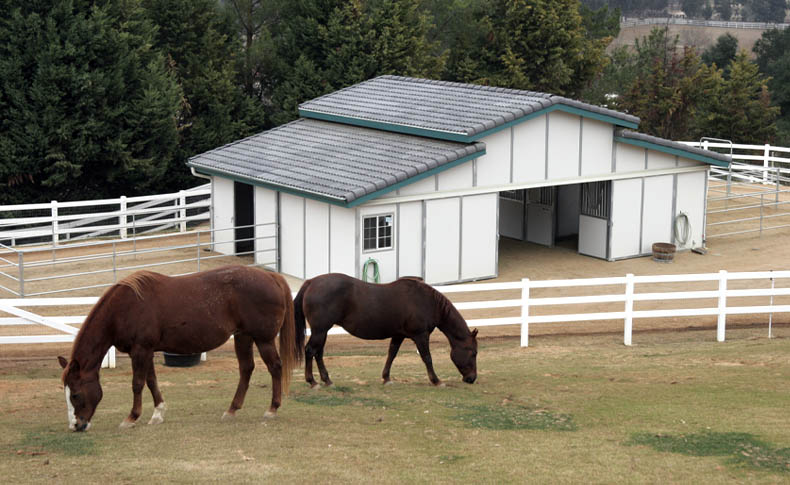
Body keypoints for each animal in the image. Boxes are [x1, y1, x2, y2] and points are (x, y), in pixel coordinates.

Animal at [57, 264, 304, 432]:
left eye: (76, 394)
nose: (76, 426)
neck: (124, 308)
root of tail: (271, 276)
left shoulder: (140, 350)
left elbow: (137, 384)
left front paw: (132, 418)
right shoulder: (147, 351)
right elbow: (151, 381)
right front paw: (158, 414)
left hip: (263, 339)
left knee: (275, 367)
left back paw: (272, 409)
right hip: (243, 337)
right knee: (246, 369)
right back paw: (232, 410)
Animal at [296, 274, 476, 388]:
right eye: (473, 352)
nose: (472, 378)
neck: (426, 301)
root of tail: (311, 282)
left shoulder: (398, 335)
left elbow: (391, 354)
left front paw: (386, 378)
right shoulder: (420, 336)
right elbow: (427, 358)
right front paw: (436, 381)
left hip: (323, 331)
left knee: (318, 353)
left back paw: (327, 380)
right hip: (320, 330)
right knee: (310, 350)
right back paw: (312, 382)